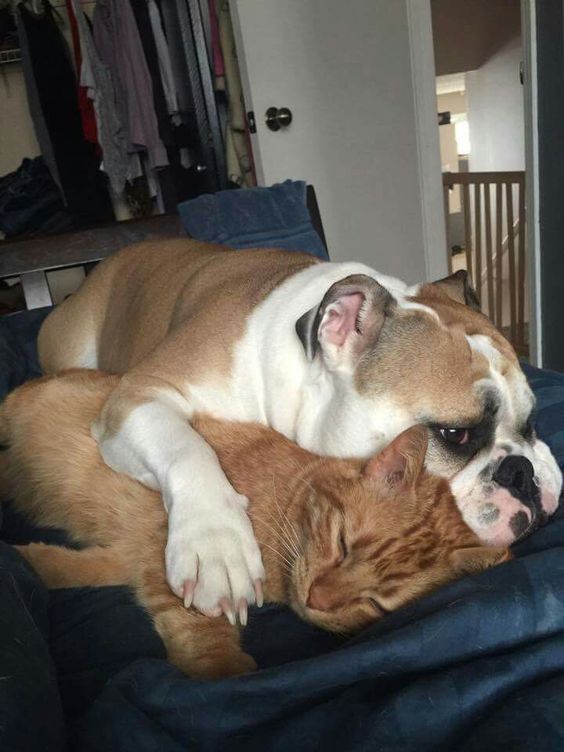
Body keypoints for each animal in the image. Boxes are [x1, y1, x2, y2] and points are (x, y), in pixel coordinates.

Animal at [0, 374, 508, 680]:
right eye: (343, 544)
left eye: (378, 603)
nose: (317, 600)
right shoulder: (174, 555)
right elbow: (201, 627)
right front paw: (224, 669)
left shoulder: (127, 558)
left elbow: (65, 568)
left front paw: (26, 560)